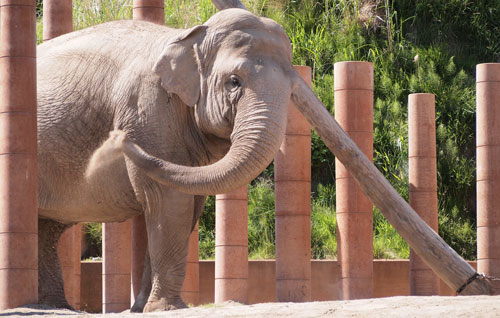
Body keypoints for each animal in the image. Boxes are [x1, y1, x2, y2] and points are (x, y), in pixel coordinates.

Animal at [39, 6, 298, 312]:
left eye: (293, 90)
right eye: (234, 82)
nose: (117, 137)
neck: (188, 36)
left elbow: (186, 205)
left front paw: (142, 308)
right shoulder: (148, 111)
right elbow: (170, 202)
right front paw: (166, 308)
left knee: (46, 228)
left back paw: (52, 307)